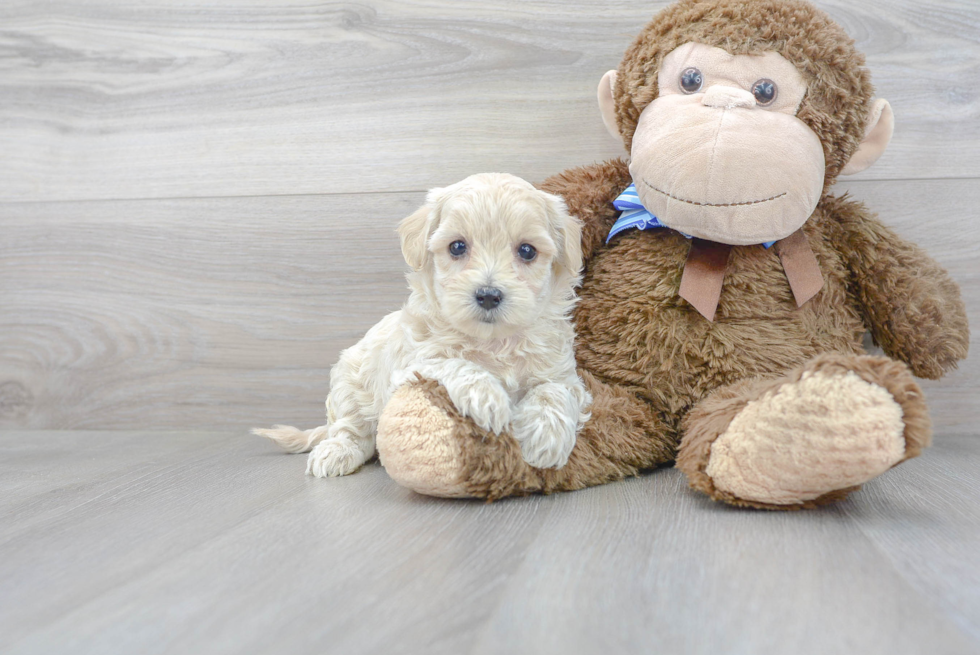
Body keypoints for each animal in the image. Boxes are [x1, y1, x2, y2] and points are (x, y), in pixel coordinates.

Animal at [253, 173, 588, 476]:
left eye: (527, 250)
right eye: (457, 247)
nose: (488, 295)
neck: (493, 341)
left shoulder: (564, 374)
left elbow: (553, 391)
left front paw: (546, 437)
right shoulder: (411, 366)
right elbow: (454, 363)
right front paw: (487, 397)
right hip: (349, 383)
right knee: (352, 429)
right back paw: (337, 452)